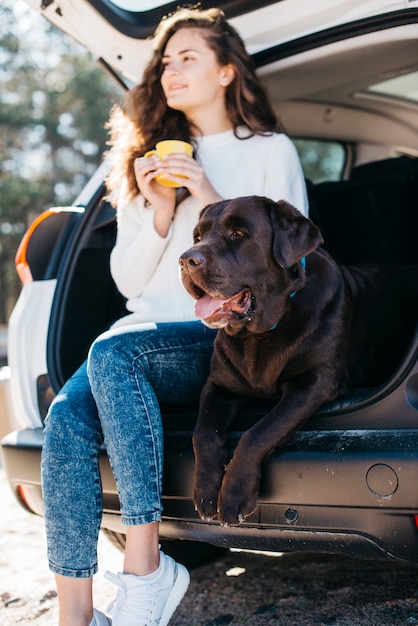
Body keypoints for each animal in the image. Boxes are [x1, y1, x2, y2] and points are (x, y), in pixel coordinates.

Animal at [179, 196, 418, 528]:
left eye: (239, 234)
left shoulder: (314, 383)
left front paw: (234, 494)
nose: (185, 259)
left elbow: (258, 432)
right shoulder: (218, 386)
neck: (264, 330)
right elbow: (202, 433)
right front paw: (205, 491)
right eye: (198, 236)